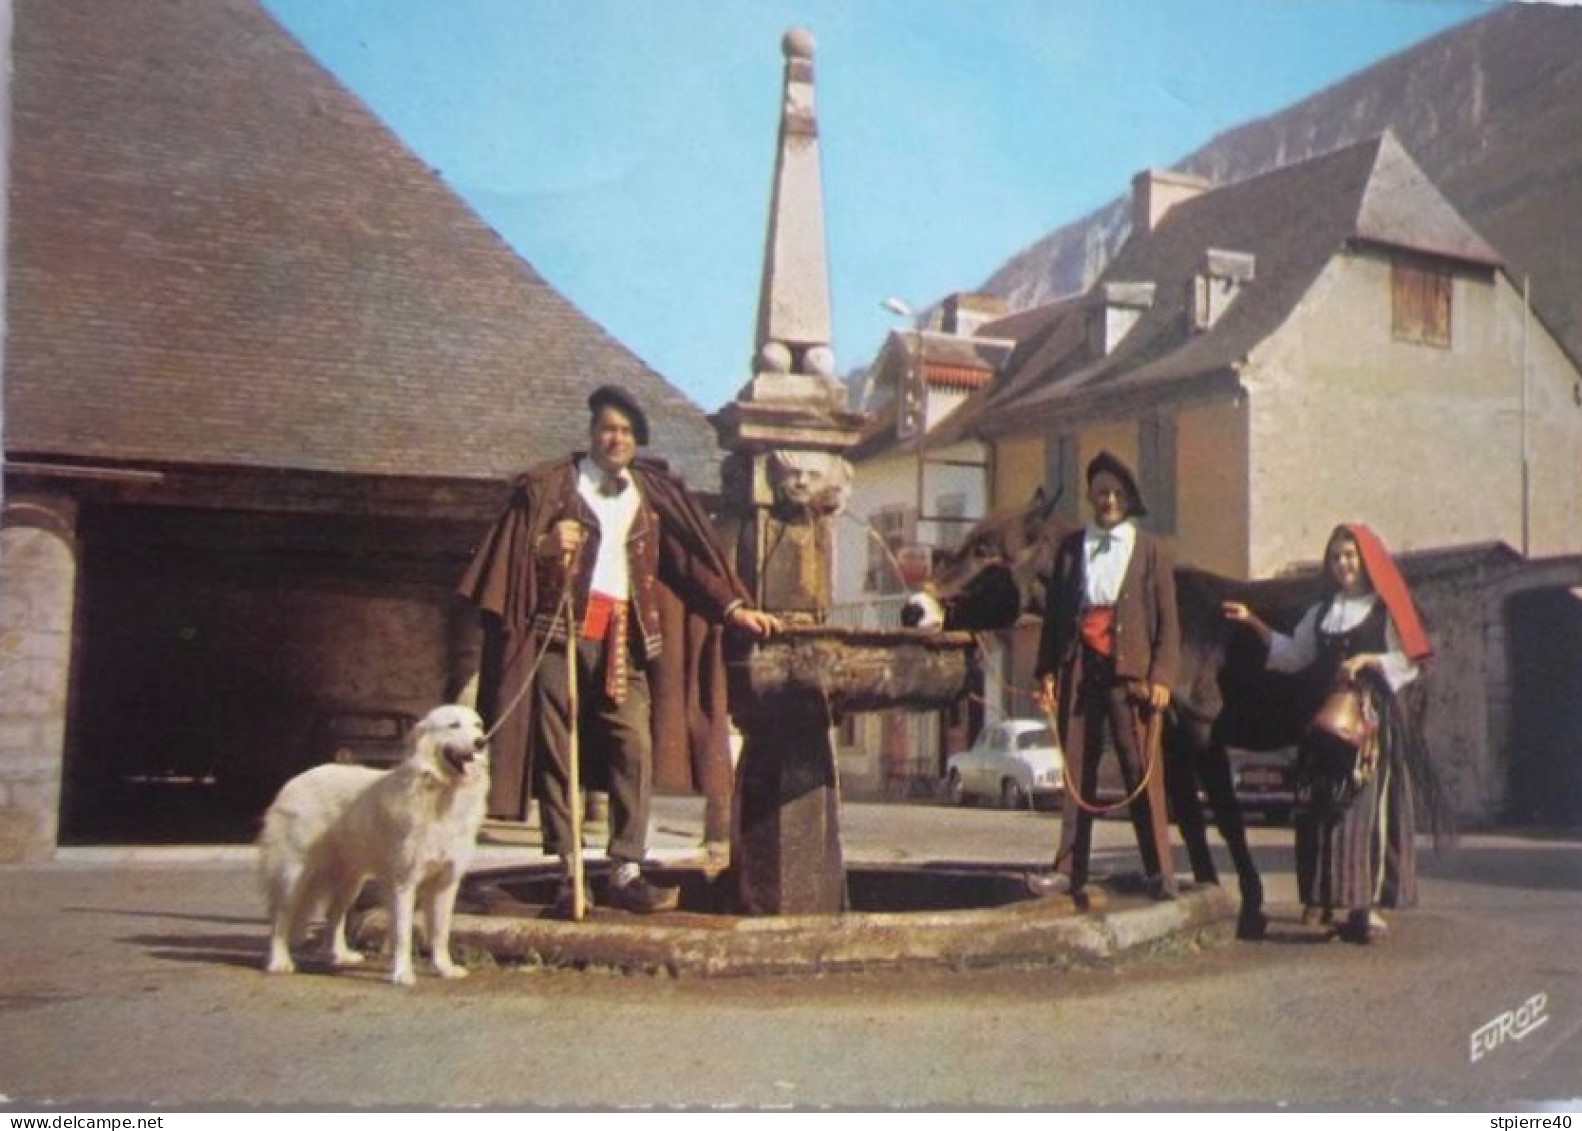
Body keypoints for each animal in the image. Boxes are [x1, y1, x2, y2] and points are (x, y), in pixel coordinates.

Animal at [256, 702, 490, 987]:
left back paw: (340, 955)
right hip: (294, 875)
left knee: (334, 916)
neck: (439, 791)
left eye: (477, 725)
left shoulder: (446, 882)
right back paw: (279, 962)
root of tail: (294, 780)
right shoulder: (403, 882)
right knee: (281, 918)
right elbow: (403, 933)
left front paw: (445, 969)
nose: (481, 742)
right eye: (454, 725)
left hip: (351, 882)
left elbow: (440, 932)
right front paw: (402, 974)